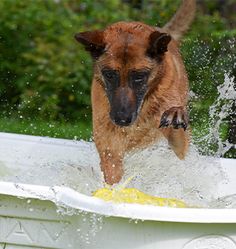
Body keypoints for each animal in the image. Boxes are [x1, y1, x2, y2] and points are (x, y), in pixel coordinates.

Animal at [75, 0, 195, 185]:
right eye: (109, 75)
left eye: (139, 76)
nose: (122, 119)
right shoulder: (110, 149)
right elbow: (113, 175)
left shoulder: (179, 144)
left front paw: (175, 113)